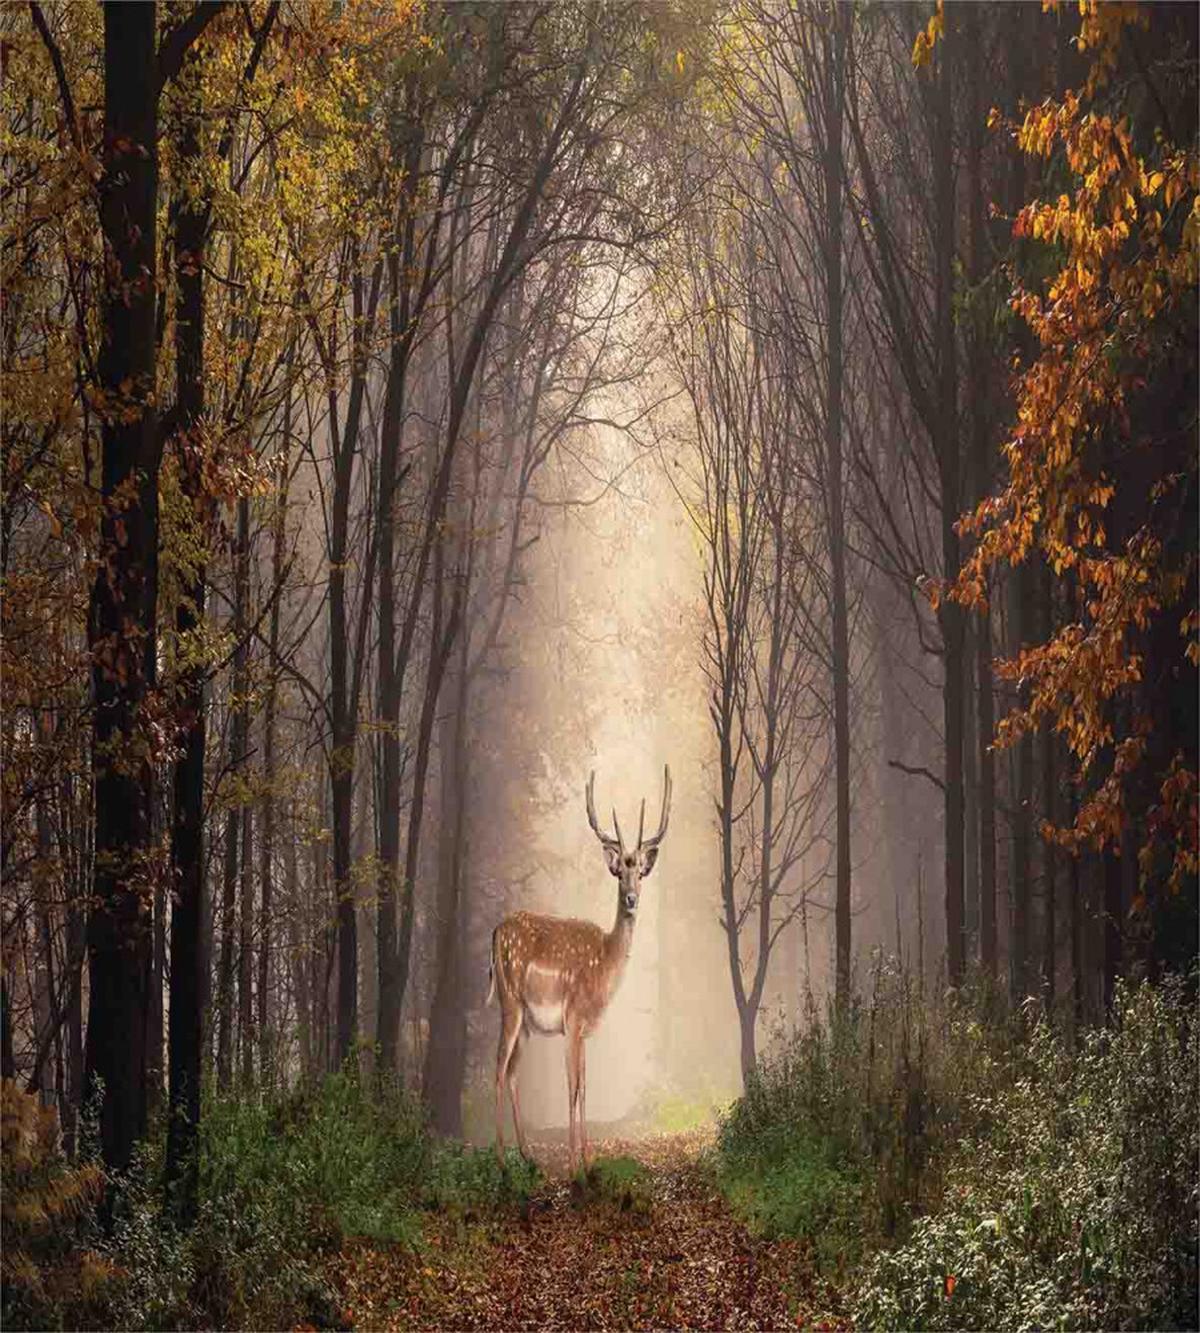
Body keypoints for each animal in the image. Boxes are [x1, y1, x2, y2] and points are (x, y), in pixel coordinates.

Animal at [487, 765, 672, 1171]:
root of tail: (494, 933)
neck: (604, 968)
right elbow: (571, 1087)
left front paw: (588, 1160)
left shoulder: (585, 1028)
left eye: (641, 873)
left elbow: (585, 1088)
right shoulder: (572, 1018)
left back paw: (528, 1156)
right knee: (497, 1067)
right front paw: (574, 1166)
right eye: (620, 874)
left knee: (513, 1071)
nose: (631, 899)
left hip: (525, 1019)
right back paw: (502, 1161)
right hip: (509, 1000)